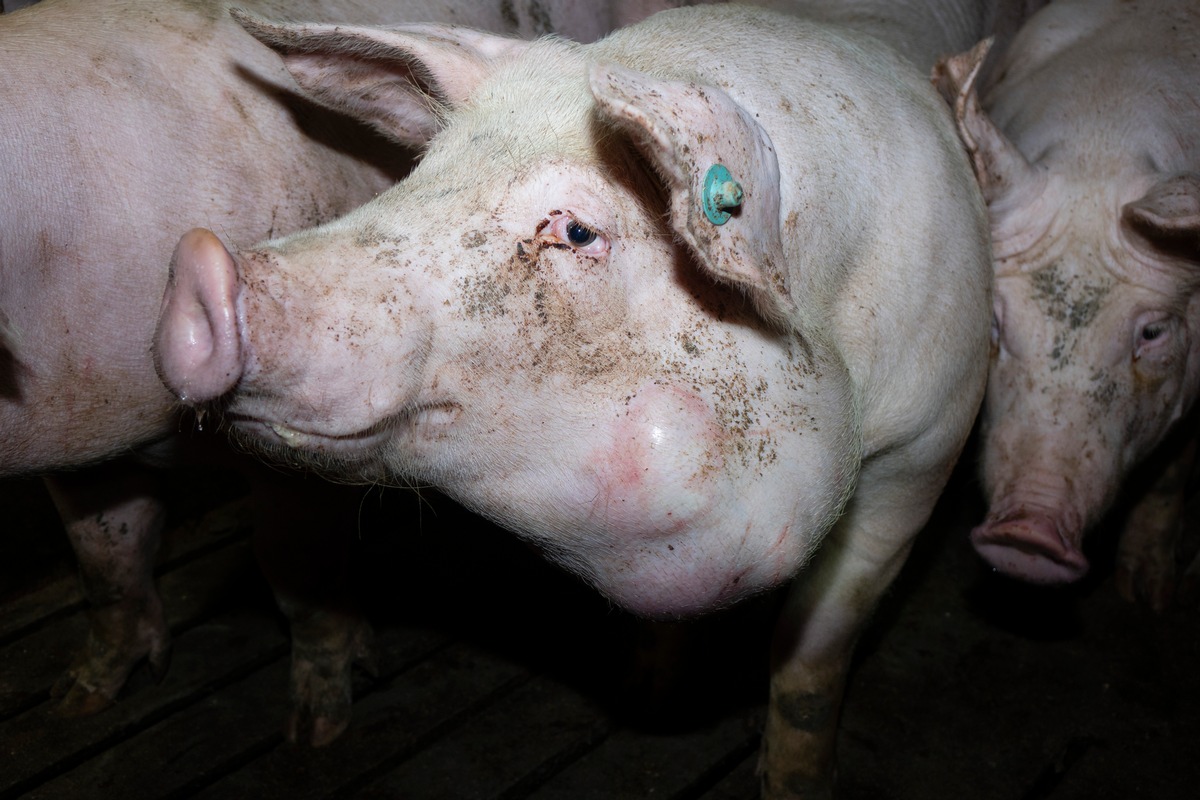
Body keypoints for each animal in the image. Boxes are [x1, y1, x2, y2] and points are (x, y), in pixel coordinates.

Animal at [0, 0, 700, 748]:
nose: (197, 259)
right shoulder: (84, 449)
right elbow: (103, 557)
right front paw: (75, 701)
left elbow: (293, 564)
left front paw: (315, 732)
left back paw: (646, 697)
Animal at [152, 4, 993, 796]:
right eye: (419, 176)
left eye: (578, 231)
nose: (202, 264)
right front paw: (644, 693)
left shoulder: (926, 454)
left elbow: (815, 655)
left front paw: (797, 787)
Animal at [936, 0, 1200, 614]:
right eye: (994, 322)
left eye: (1153, 333)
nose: (1026, 534)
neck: (1102, 149)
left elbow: (1174, 471)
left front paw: (1149, 598)